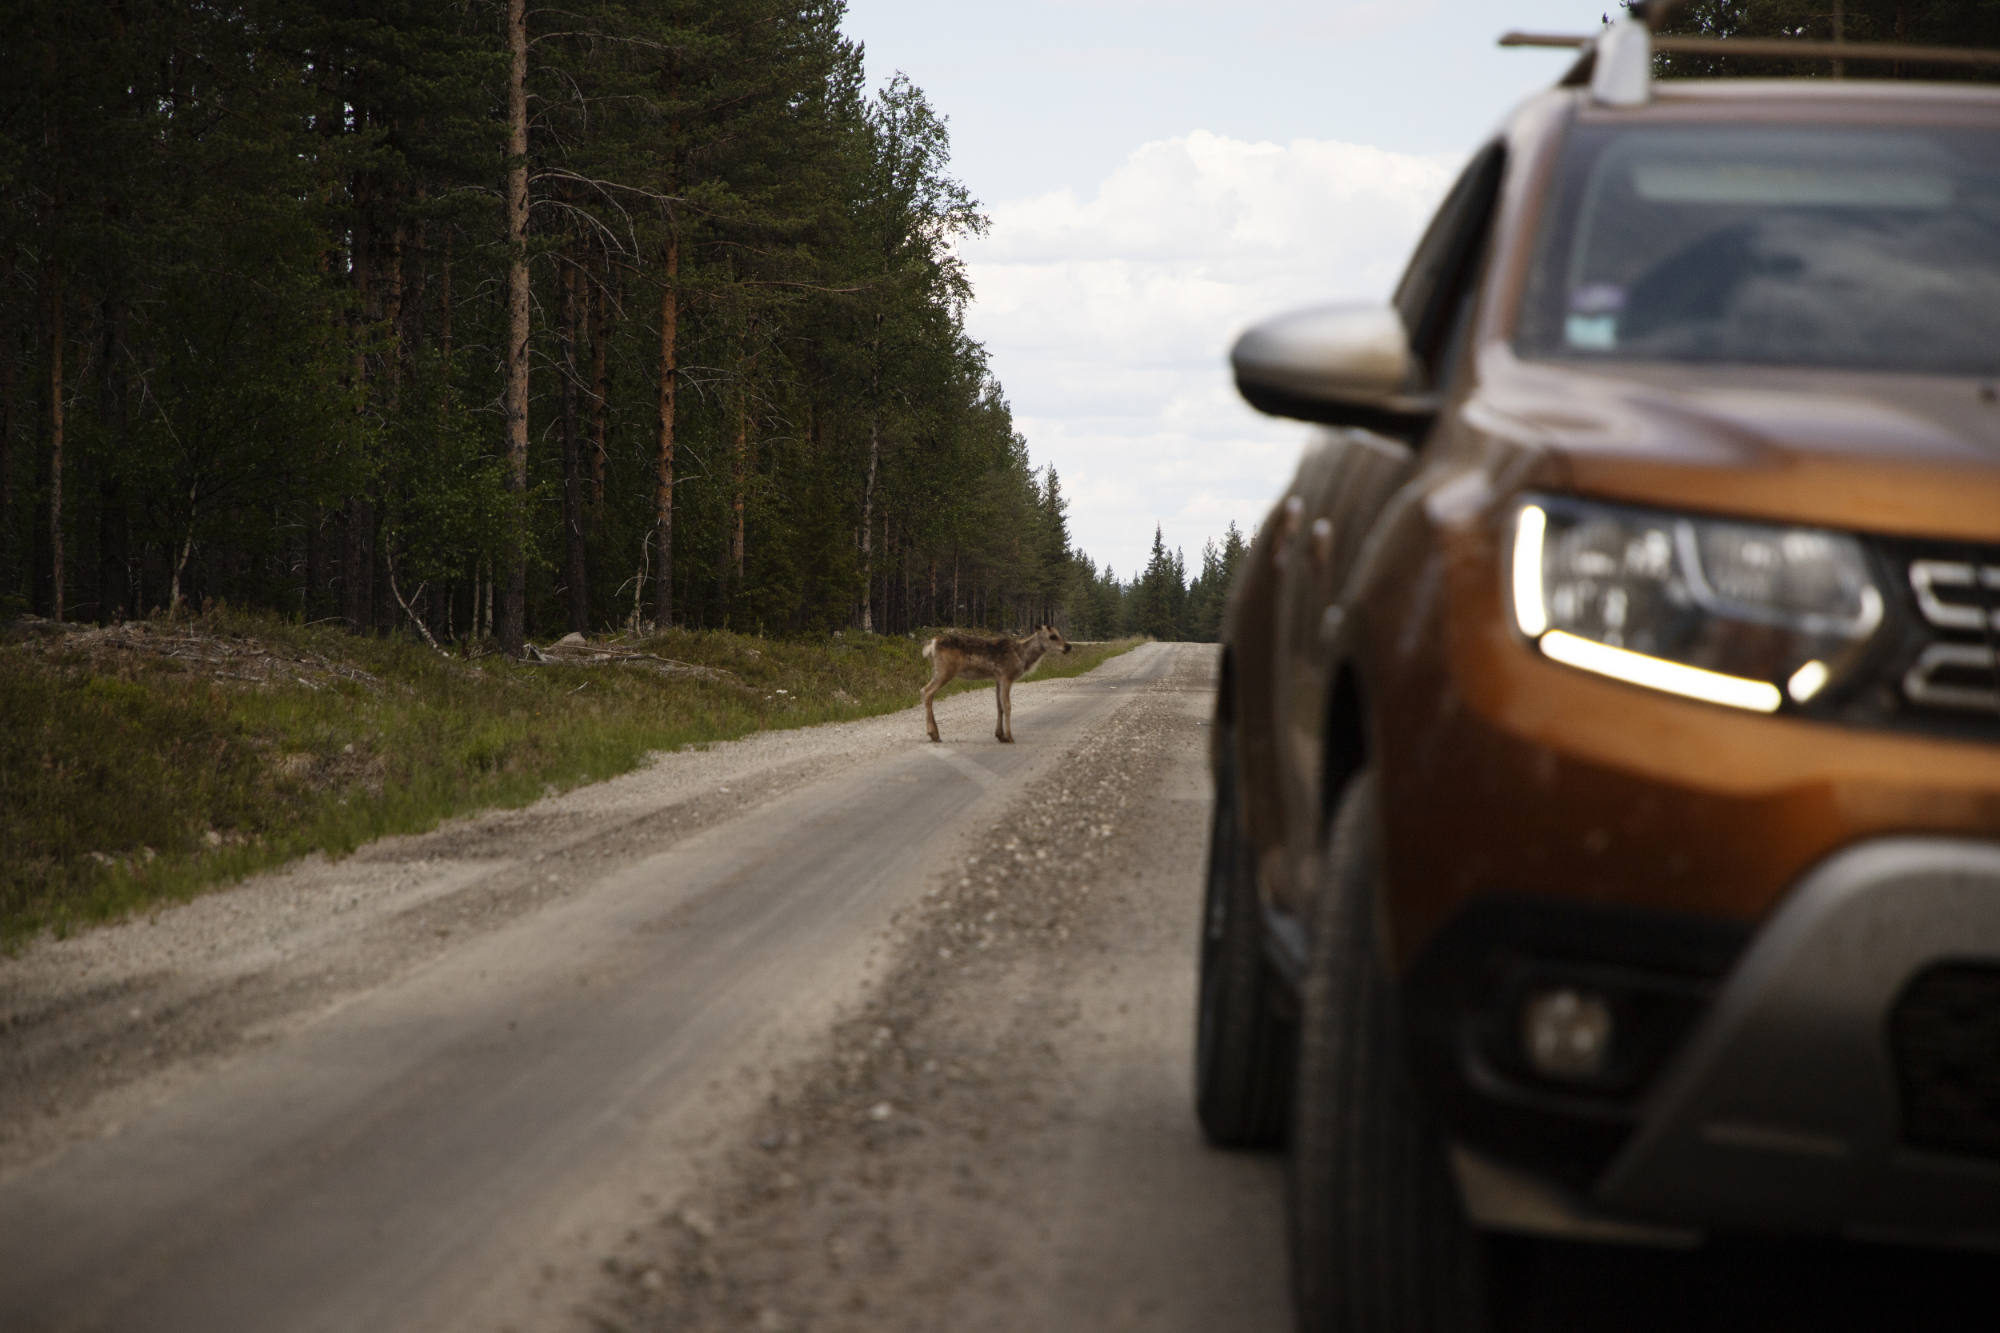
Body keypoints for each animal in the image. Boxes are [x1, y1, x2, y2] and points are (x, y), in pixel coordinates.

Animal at [924, 620, 1072, 736]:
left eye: (1059, 633)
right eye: (1052, 636)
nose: (1068, 646)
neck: (1022, 657)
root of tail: (932, 644)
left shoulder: (998, 678)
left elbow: (999, 706)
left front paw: (1000, 735)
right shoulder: (1007, 675)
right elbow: (1007, 706)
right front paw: (1009, 736)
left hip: (937, 670)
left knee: (927, 692)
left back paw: (935, 732)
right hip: (945, 670)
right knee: (927, 691)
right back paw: (933, 733)